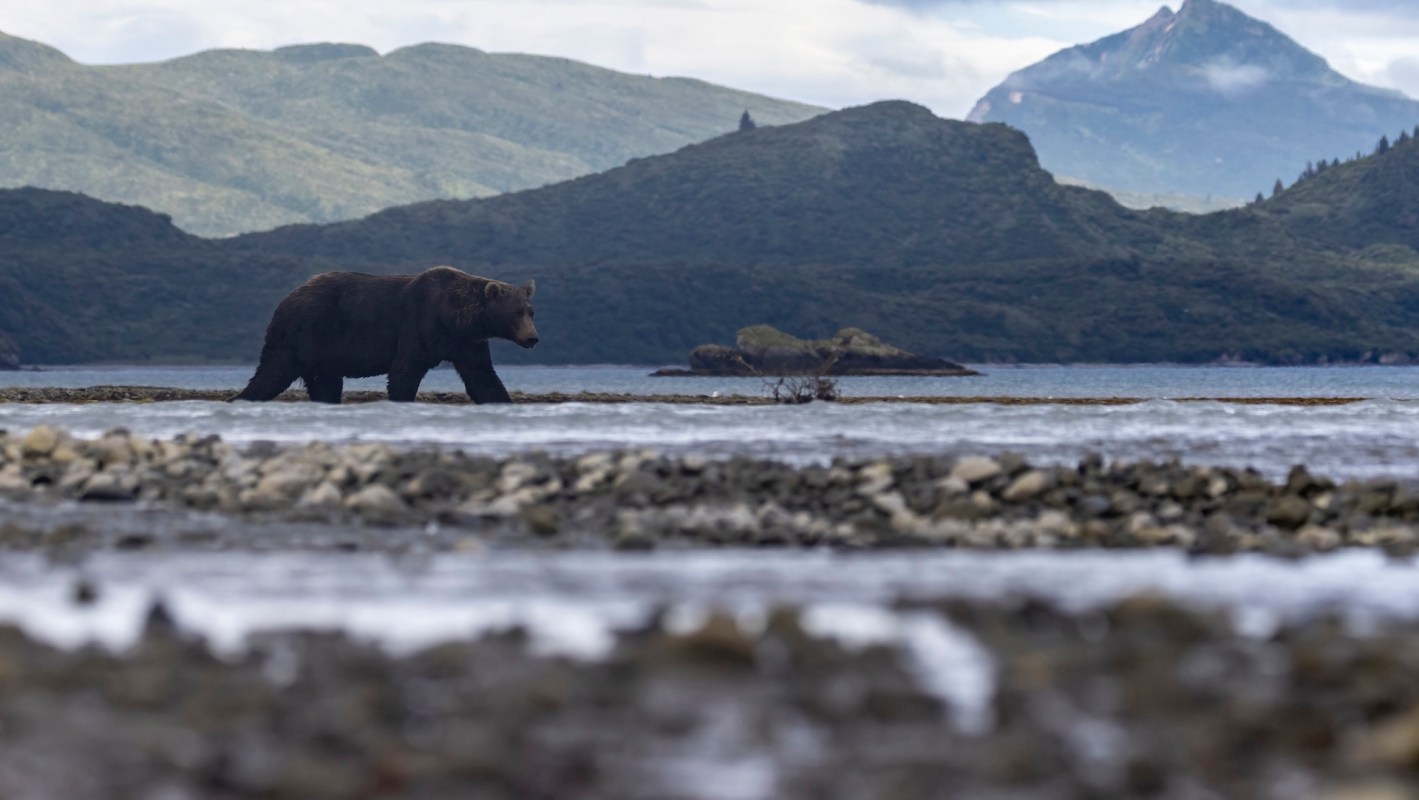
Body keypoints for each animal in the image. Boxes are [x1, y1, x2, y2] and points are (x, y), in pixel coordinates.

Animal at [231, 266, 537, 404]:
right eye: (516, 313)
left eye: (530, 311)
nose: (532, 338)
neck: (455, 317)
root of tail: (286, 299)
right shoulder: (419, 325)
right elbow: (404, 371)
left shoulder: (466, 343)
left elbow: (483, 377)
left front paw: (503, 401)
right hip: (303, 334)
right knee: (272, 373)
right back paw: (241, 398)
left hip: (323, 354)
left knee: (325, 384)